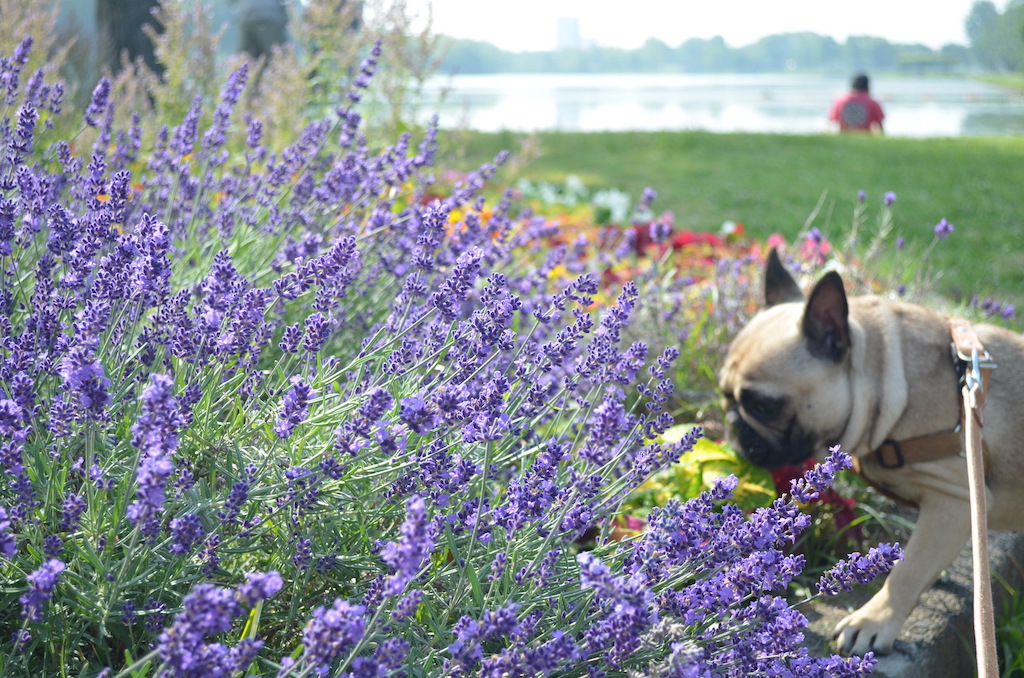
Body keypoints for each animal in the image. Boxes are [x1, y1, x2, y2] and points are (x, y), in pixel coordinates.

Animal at [720, 249, 1024, 659]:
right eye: (725, 395)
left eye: (764, 406)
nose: (733, 422)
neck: (887, 379)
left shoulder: (955, 499)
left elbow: (908, 570)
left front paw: (873, 620)